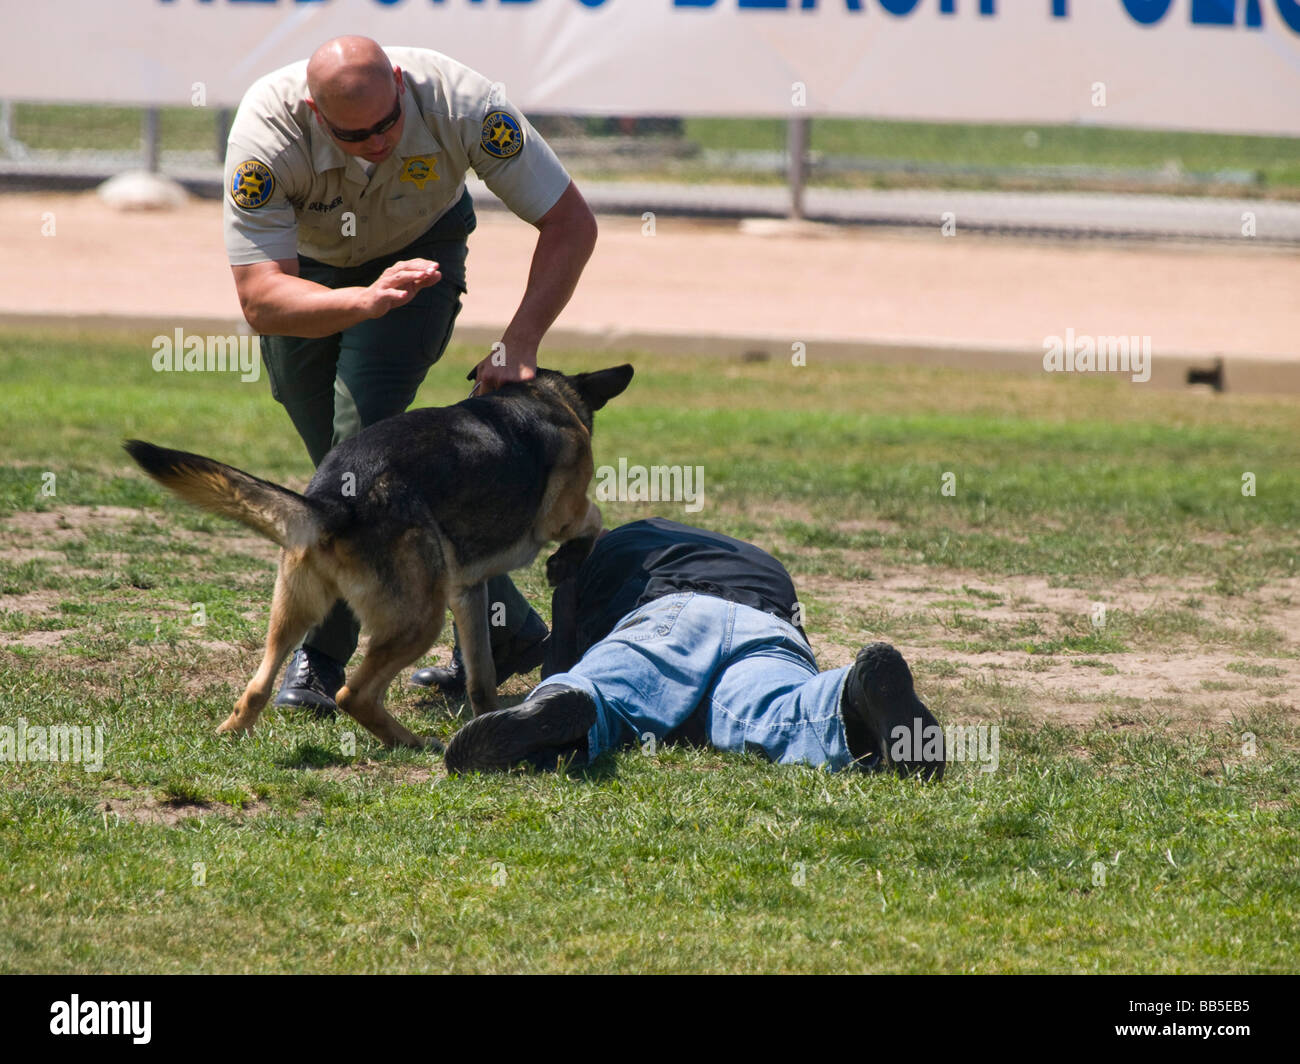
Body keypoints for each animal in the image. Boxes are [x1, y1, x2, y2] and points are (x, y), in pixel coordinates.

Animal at [124, 364, 631, 744]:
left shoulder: (468, 592)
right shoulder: (561, 514)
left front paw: (490, 719)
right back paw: (409, 741)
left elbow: (481, 674)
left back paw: (232, 732)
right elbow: (596, 517)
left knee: (257, 685)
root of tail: (332, 501)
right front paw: (565, 562)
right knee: (354, 695)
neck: (546, 396)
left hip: (293, 612)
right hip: (419, 620)